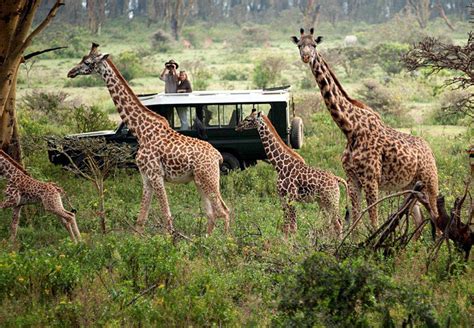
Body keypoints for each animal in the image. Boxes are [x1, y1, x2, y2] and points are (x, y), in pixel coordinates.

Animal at [66, 43, 230, 234]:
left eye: (87, 62)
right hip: (199, 180)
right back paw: (205, 239)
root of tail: (217, 156)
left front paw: (170, 240)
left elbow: (167, 216)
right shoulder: (145, 178)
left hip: (209, 178)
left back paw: (226, 241)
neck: (141, 131)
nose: (71, 72)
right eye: (82, 59)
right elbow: (141, 219)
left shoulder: (155, 175)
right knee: (211, 213)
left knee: (224, 211)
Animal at [290, 28, 438, 229]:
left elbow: (373, 220)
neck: (350, 129)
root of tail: (430, 150)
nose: (306, 56)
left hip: (430, 182)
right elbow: (355, 221)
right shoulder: (352, 179)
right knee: (419, 218)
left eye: (314, 44)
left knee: (436, 216)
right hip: (409, 186)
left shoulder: (370, 179)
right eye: (299, 45)